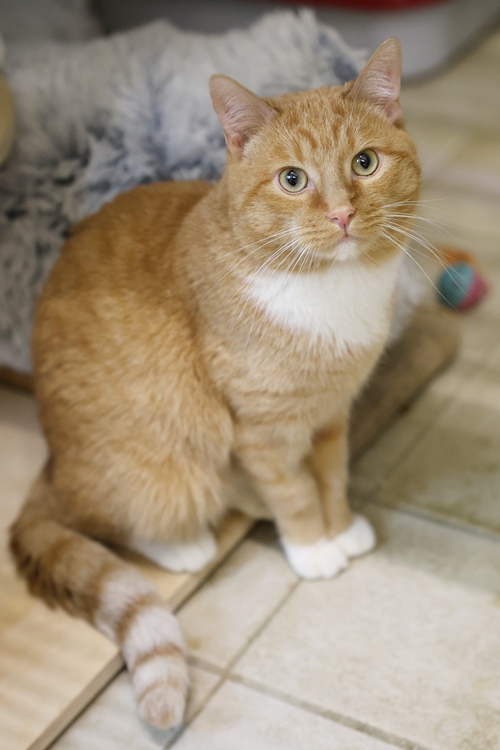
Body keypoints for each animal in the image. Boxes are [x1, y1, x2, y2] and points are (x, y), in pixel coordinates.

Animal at [10, 38, 420, 730]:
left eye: (364, 163)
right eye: (292, 179)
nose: (342, 214)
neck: (328, 288)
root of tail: (52, 460)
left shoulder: (332, 414)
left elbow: (332, 477)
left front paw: (339, 528)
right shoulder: (261, 428)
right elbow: (295, 492)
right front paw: (313, 546)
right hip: (161, 461)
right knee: (112, 515)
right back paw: (185, 546)